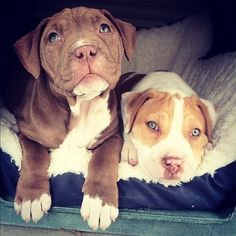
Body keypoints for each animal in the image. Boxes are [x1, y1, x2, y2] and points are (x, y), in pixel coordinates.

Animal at [11, 6, 136, 230]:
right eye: (53, 37)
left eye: (104, 28)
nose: (85, 50)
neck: (81, 107)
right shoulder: (27, 131)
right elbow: (35, 155)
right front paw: (32, 197)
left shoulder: (112, 136)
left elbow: (103, 159)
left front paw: (99, 202)